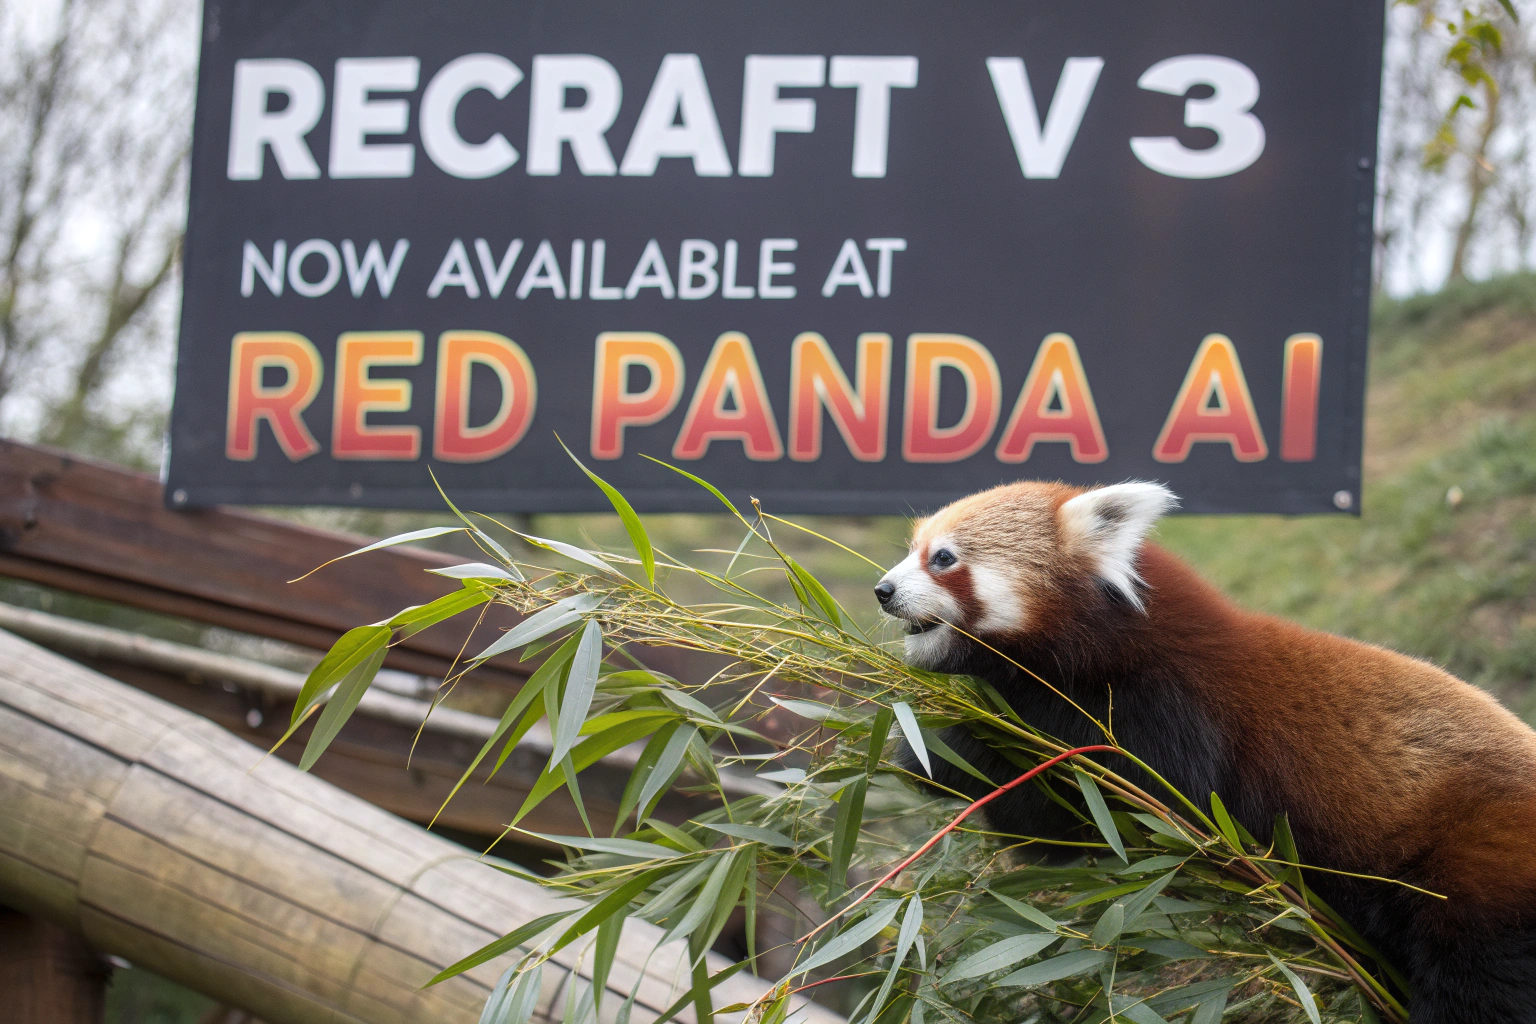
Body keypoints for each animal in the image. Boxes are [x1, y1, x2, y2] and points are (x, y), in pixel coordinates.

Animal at [873, 480, 1536, 1023]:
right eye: (912, 547)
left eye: (943, 558)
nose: (882, 589)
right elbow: (1046, 832)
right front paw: (931, 749)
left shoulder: (1171, 712)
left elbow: (1133, 815)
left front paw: (950, 746)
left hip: (1480, 868)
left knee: (1476, 984)